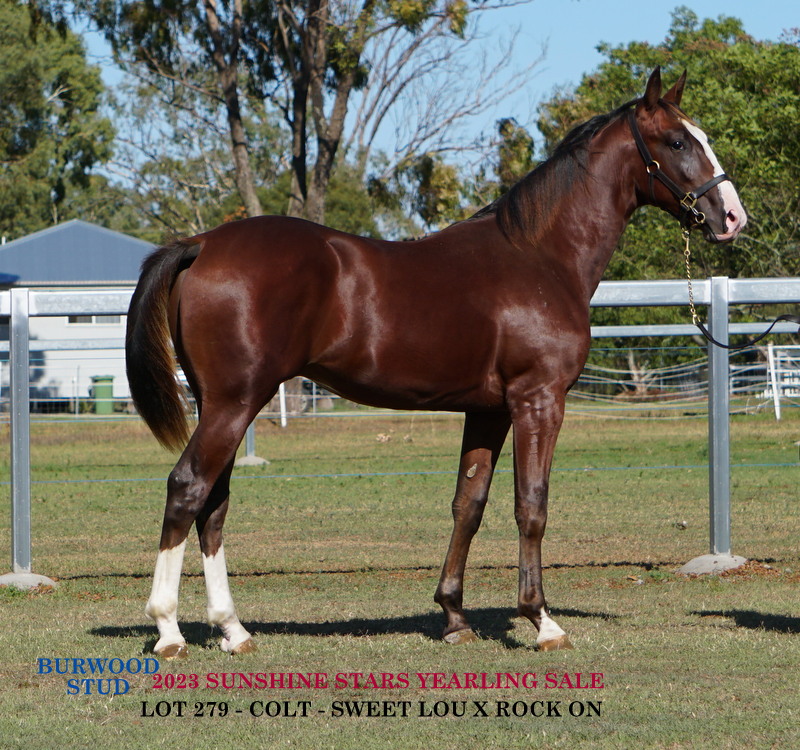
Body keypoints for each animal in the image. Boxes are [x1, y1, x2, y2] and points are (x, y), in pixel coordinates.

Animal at [126, 68, 746, 658]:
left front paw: (453, 617)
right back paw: (169, 630)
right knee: (187, 489)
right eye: (677, 141)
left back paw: (233, 630)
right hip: (234, 403)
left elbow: (468, 505)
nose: (732, 216)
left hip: (224, 404)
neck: (540, 257)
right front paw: (542, 620)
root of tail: (203, 244)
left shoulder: (488, 411)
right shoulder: (538, 400)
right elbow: (532, 504)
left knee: (213, 505)